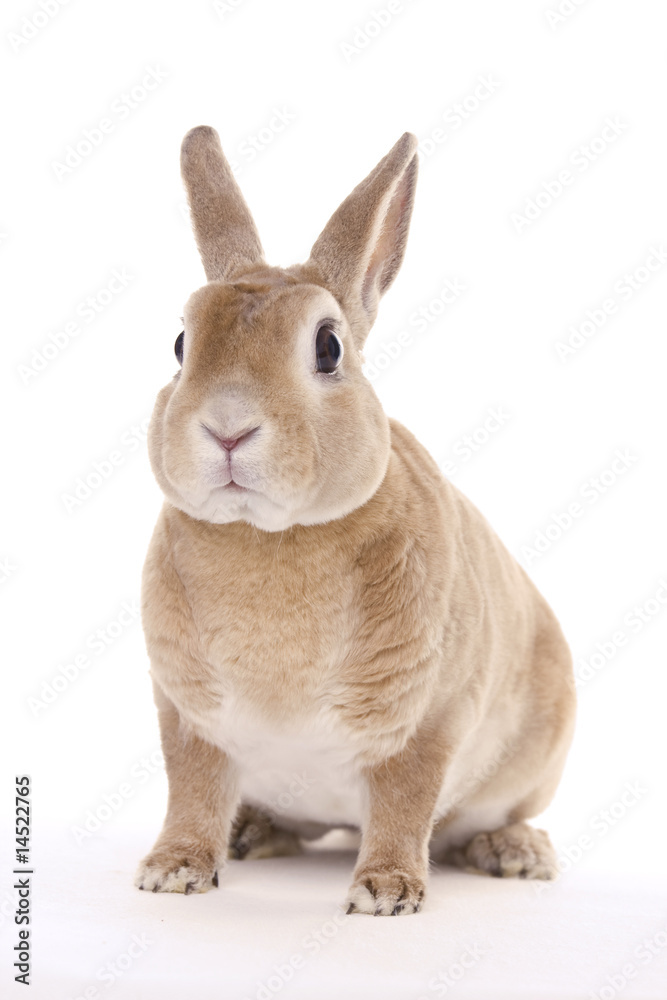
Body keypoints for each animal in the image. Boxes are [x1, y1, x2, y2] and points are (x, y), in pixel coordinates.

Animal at [135, 126, 576, 915]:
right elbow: (190, 791)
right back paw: (252, 834)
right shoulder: (188, 717)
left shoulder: (425, 723)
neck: (269, 536)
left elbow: (404, 801)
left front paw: (385, 893)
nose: (226, 427)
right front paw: (173, 871)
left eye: (327, 346)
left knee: (481, 820)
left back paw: (513, 854)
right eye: (182, 345)